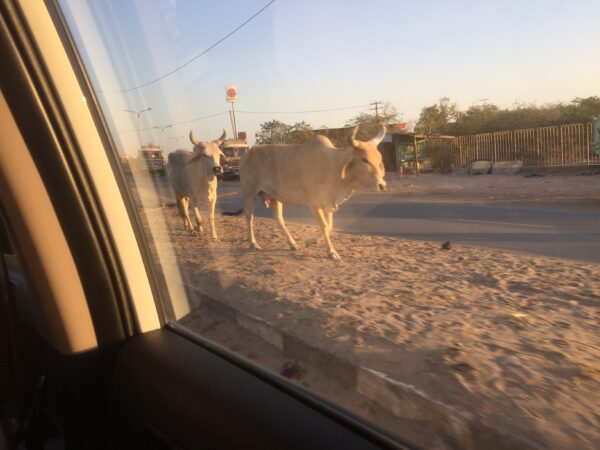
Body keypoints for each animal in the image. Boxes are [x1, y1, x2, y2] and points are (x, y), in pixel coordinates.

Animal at [240, 125, 390, 260]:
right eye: (364, 159)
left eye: (379, 159)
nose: (382, 185)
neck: (333, 166)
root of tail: (248, 154)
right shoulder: (314, 203)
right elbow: (324, 225)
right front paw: (331, 252)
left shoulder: (328, 203)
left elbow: (329, 226)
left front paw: (311, 241)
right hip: (250, 194)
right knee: (249, 217)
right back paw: (253, 243)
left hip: (275, 197)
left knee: (279, 219)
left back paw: (292, 244)